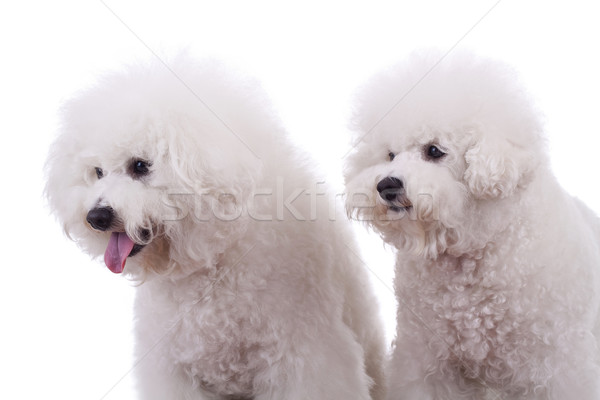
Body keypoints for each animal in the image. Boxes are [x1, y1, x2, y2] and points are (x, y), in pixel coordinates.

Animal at [45, 57, 384, 400]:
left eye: (140, 166)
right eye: (97, 172)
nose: (96, 216)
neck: (211, 267)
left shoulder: (305, 359)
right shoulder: (172, 371)